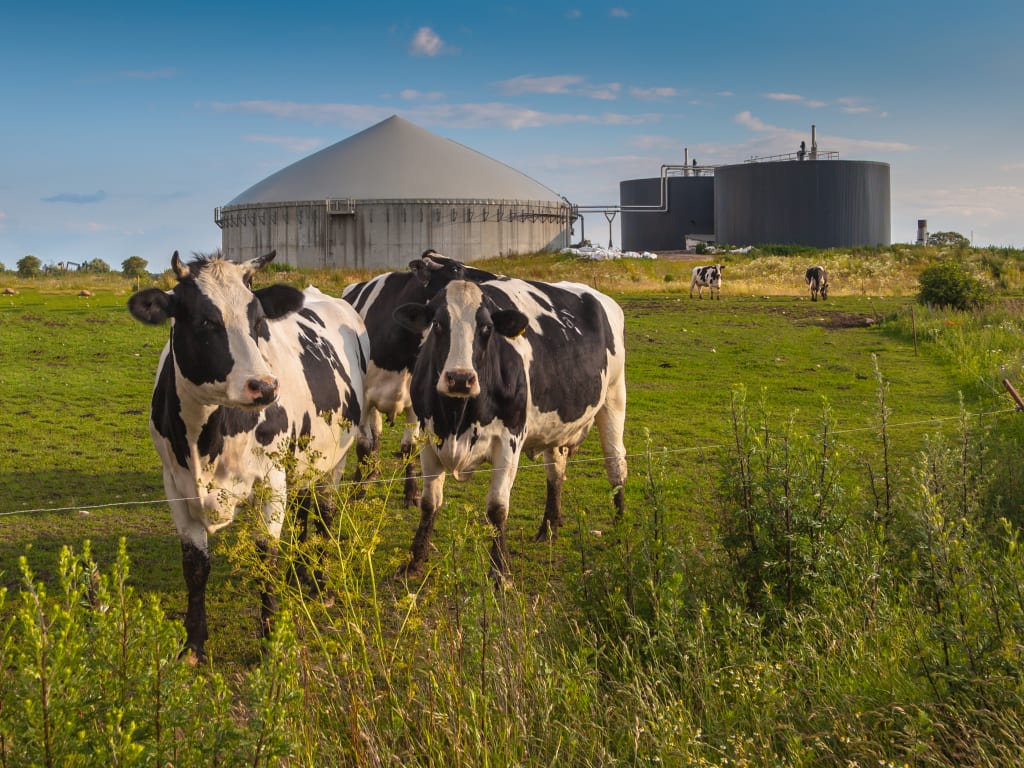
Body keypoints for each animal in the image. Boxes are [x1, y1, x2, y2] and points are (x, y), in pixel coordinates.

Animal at [128, 251, 367, 660]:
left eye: (258, 322)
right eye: (205, 321)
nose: (265, 386)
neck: (205, 440)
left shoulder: (270, 482)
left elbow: (265, 559)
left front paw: (271, 642)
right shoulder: (175, 486)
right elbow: (195, 566)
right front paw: (193, 643)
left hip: (334, 459)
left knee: (324, 515)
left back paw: (319, 583)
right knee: (303, 510)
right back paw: (298, 573)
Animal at [342, 251, 496, 506]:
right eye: (455, 269)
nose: (493, 278)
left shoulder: (415, 402)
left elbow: (409, 447)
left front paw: (411, 492)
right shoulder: (363, 398)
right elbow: (363, 445)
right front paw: (358, 490)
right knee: (374, 437)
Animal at [393, 278, 628, 581]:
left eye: (486, 328)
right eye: (438, 324)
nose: (460, 379)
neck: (458, 418)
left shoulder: (509, 440)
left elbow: (497, 508)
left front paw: (500, 571)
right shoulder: (428, 437)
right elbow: (429, 503)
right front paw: (413, 563)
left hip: (614, 397)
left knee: (615, 465)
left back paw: (620, 528)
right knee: (556, 472)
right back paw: (549, 527)